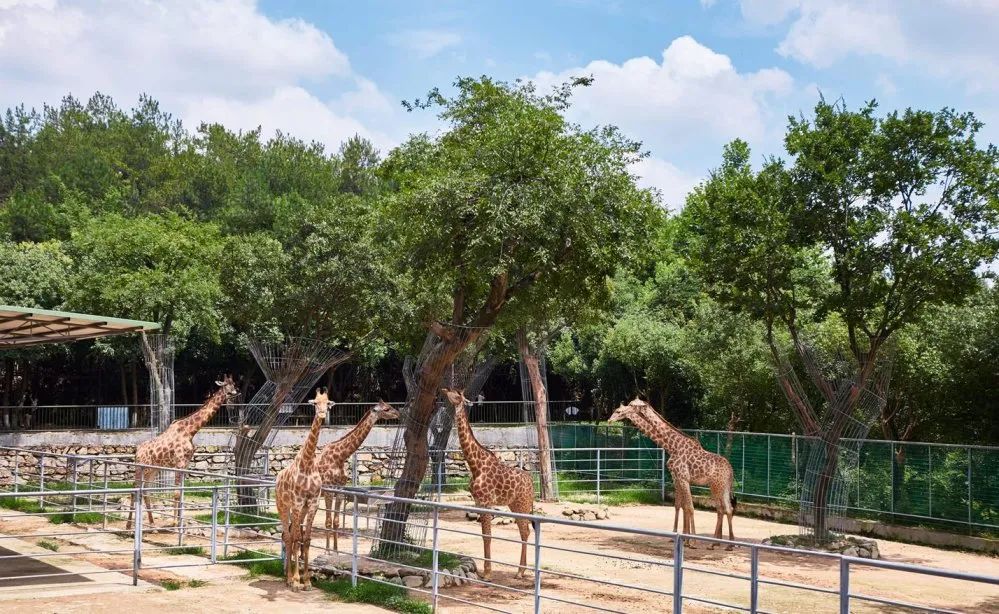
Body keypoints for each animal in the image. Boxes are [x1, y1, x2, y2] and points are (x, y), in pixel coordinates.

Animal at [127, 376, 238, 536]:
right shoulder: (179, 464)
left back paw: (153, 526)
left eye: (234, 385)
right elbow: (176, 493)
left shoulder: (185, 465)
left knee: (145, 491)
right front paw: (174, 524)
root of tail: (137, 451)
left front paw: (180, 525)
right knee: (134, 490)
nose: (235, 393)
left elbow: (182, 492)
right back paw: (129, 527)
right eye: (227, 388)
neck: (190, 431)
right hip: (141, 468)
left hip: (153, 469)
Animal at [276, 390, 330, 592]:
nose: (322, 414)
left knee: (291, 535)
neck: (307, 463)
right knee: (288, 536)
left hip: (300, 509)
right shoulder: (298, 503)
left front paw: (307, 581)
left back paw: (289, 576)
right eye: (315, 403)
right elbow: (297, 538)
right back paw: (289, 578)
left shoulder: (312, 503)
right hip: (283, 506)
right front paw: (297, 580)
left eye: (328, 403)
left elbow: (306, 540)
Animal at [318, 400, 400, 552]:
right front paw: (327, 551)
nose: (398, 413)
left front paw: (336, 550)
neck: (340, 457)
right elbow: (328, 521)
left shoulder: (339, 490)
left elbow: (336, 521)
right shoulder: (328, 490)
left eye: (390, 405)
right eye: (386, 409)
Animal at [446, 390, 540, 584]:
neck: (475, 465)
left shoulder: (487, 501)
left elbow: (488, 535)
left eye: (456, 395)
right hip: (515, 505)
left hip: (522, 505)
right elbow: (483, 535)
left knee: (525, 531)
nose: (443, 391)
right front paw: (484, 572)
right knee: (525, 531)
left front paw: (488, 574)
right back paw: (522, 571)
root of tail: (531, 482)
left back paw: (520, 572)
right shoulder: (478, 502)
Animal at [604, 400, 740, 548]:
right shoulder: (677, 478)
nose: (609, 420)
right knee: (727, 509)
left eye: (620, 411)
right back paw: (727, 544)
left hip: (716, 486)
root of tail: (731, 470)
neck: (672, 447)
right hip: (722, 486)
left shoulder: (683, 478)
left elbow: (689, 507)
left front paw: (692, 541)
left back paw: (716, 543)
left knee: (722, 509)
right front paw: (682, 537)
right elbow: (680, 506)